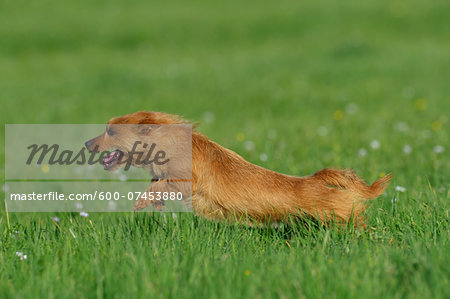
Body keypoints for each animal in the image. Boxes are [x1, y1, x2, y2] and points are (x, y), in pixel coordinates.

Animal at [86, 111, 392, 226]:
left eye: (111, 132)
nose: (88, 143)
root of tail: (316, 180)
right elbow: (156, 186)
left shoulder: (186, 180)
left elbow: (161, 186)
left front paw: (141, 203)